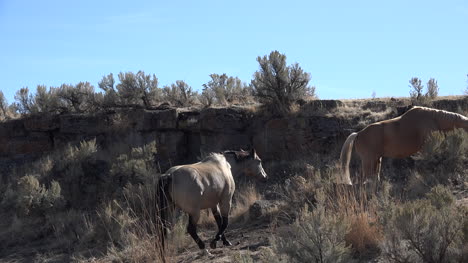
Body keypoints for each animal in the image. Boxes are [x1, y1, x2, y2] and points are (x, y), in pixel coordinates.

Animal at [340, 106, 468, 187]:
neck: (433, 118)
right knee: (366, 177)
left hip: (377, 159)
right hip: (369, 159)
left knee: (374, 175)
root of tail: (358, 134)